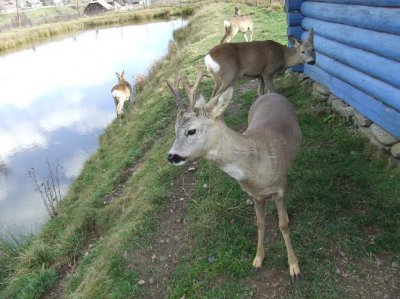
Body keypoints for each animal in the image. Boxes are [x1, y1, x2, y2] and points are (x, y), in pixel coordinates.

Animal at [167, 69, 302, 280]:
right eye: (174, 131)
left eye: (191, 131)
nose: (171, 156)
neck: (257, 167)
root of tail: (270, 94)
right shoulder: (255, 195)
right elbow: (260, 223)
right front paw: (257, 260)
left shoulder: (279, 189)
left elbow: (283, 225)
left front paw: (294, 267)